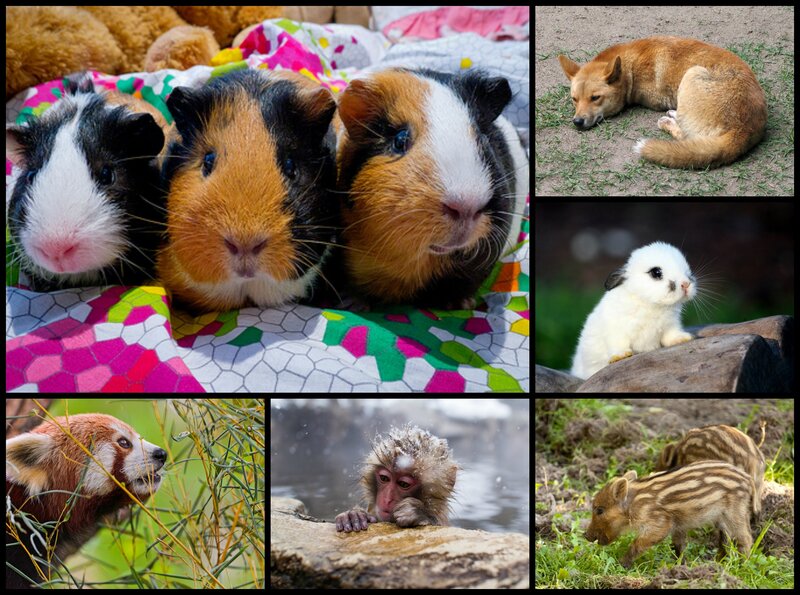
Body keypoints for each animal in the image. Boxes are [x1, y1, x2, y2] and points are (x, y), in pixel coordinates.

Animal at [585, 461, 759, 568]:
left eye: (600, 510)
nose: (585, 535)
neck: (634, 504)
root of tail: (748, 479)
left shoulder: (660, 523)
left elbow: (638, 544)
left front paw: (621, 563)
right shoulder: (678, 526)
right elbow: (678, 545)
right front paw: (681, 566)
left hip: (734, 513)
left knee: (745, 538)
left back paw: (742, 564)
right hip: (722, 519)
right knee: (724, 541)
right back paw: (718, 564)